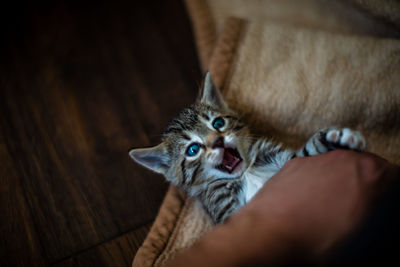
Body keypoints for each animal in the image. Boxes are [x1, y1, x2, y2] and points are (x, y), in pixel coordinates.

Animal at [130, 72, 366, 225]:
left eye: (218, 123)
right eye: (192, 150)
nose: (217, 141)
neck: (246, 173)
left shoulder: (288, 162)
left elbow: (305, 154)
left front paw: (334, 138)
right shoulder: (224, 207)